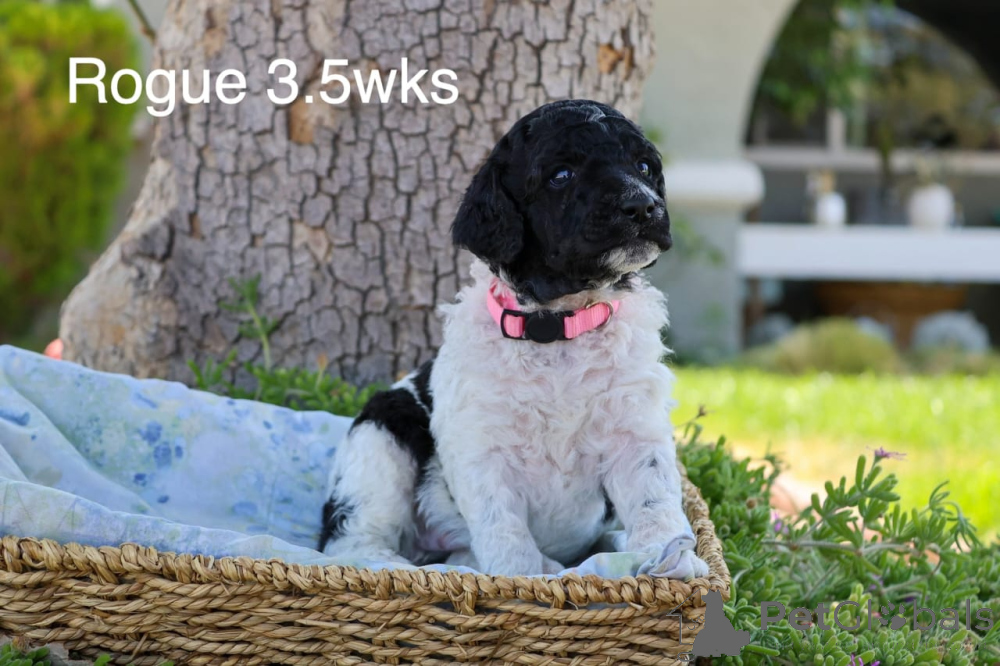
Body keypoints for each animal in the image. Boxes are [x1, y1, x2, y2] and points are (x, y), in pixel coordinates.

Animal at [319, 99, 709, 579]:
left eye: (644, 166)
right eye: (561, 175)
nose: (642, 206)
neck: (557, 325)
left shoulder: (635, 430)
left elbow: (655, 499)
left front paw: (672, 558)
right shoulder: (482, 450)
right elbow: (505, 532)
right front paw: (524, 579)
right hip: (382, 434)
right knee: (350, 539)